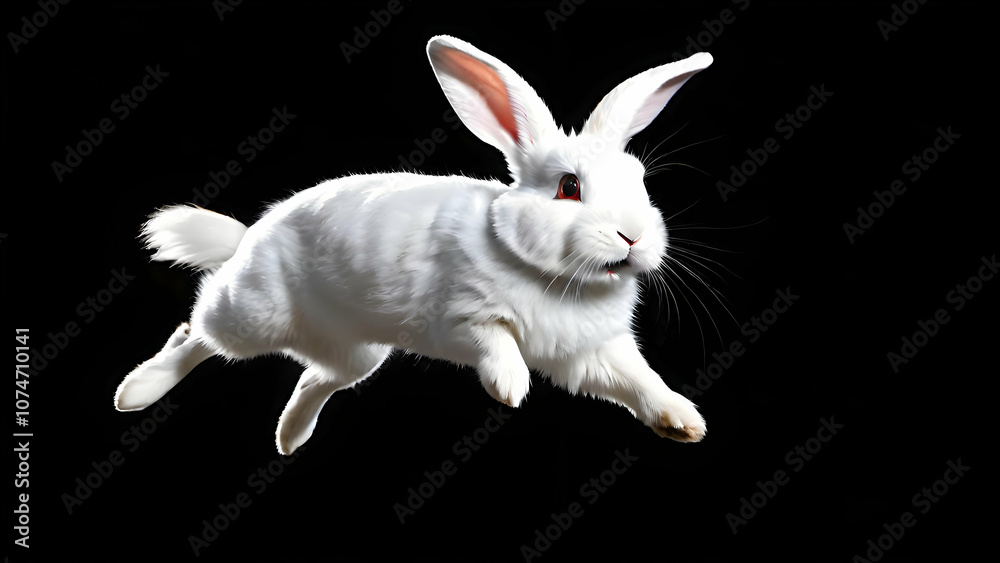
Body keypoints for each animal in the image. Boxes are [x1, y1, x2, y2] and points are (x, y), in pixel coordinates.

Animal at [114, 35, 714, 456]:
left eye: (641, 181)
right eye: (569, 187)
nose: (633, 236)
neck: (554, 276)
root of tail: (249, 238)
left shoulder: (592, 354)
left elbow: (639, 380)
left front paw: (685, 422)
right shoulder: (459, 317)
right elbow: (495, 339)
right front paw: (510, 386)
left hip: (356, 353)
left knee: (315, 377)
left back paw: (290, 438)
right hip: (251, 315)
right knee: (195, 332)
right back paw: (138, 391)